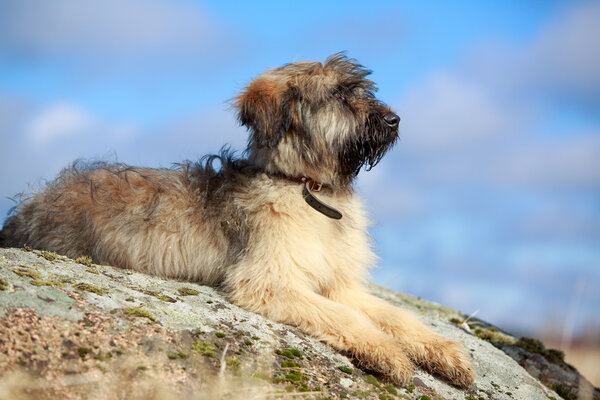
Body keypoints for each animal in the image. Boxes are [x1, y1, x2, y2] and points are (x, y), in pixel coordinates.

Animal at [1, 53, 478, 388]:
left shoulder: (340, 284)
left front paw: (446, 354)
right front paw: (391, 355)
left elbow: (397, 316)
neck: (307, 188)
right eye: (340, 95)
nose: (395, 120)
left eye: (362, 89)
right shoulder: (270, 281)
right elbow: (349, 319)